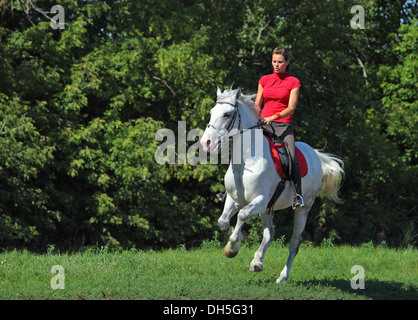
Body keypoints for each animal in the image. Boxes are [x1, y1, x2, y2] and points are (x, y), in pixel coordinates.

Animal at [199, 87, 342, 282]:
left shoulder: (259, 200)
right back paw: (257, 262)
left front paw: (233, 247)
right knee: (270, 233)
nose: (206, 143)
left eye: (227, 114)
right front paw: (233, 246)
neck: (246, 162)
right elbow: (222, 222)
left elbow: (242, 215)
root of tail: (314, 153)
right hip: (267, 208)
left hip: (302, 208)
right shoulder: (234, 199)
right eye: (212, 112)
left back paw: (282, 276)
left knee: (294, 242)